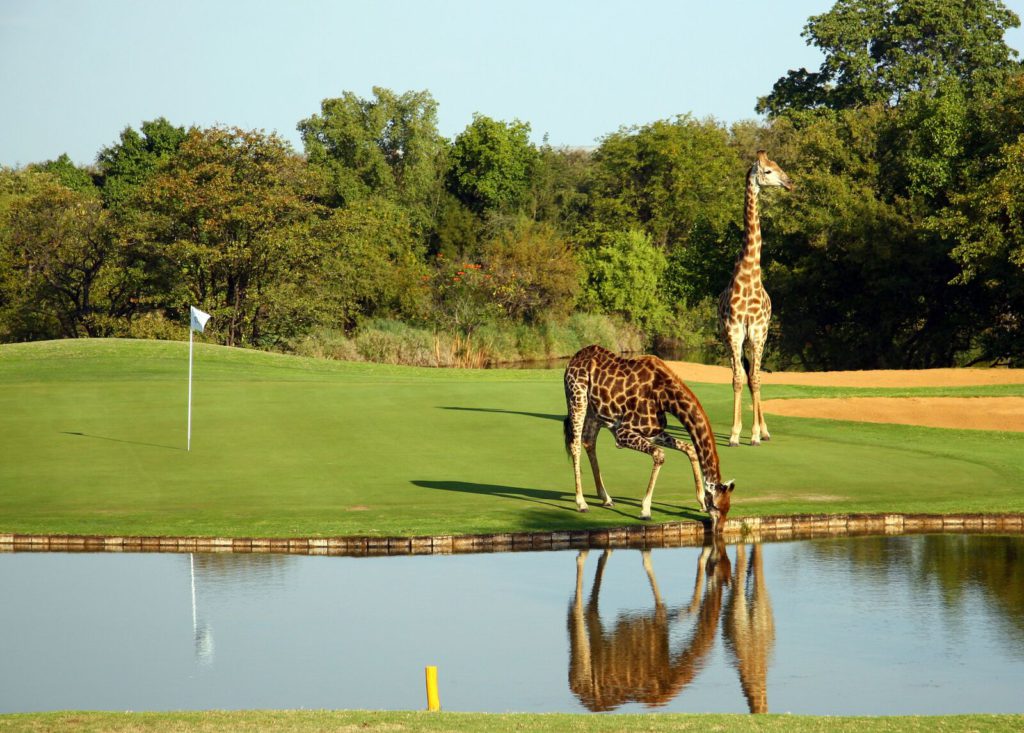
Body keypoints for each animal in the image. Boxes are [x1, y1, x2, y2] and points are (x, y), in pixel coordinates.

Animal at [565, 343, 733, 532]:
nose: (719, 529)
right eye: (716, 506)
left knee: (588, 441)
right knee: (575, 444)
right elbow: (660, 455)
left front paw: (700, 501)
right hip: (577, 400)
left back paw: (606, 499)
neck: (664, 397)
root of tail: (573, 360)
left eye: (729, 507)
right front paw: (645, 510)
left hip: (596, 413)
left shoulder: (652, 432)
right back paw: (581, 503)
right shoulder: (622, 433)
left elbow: (690, 448)